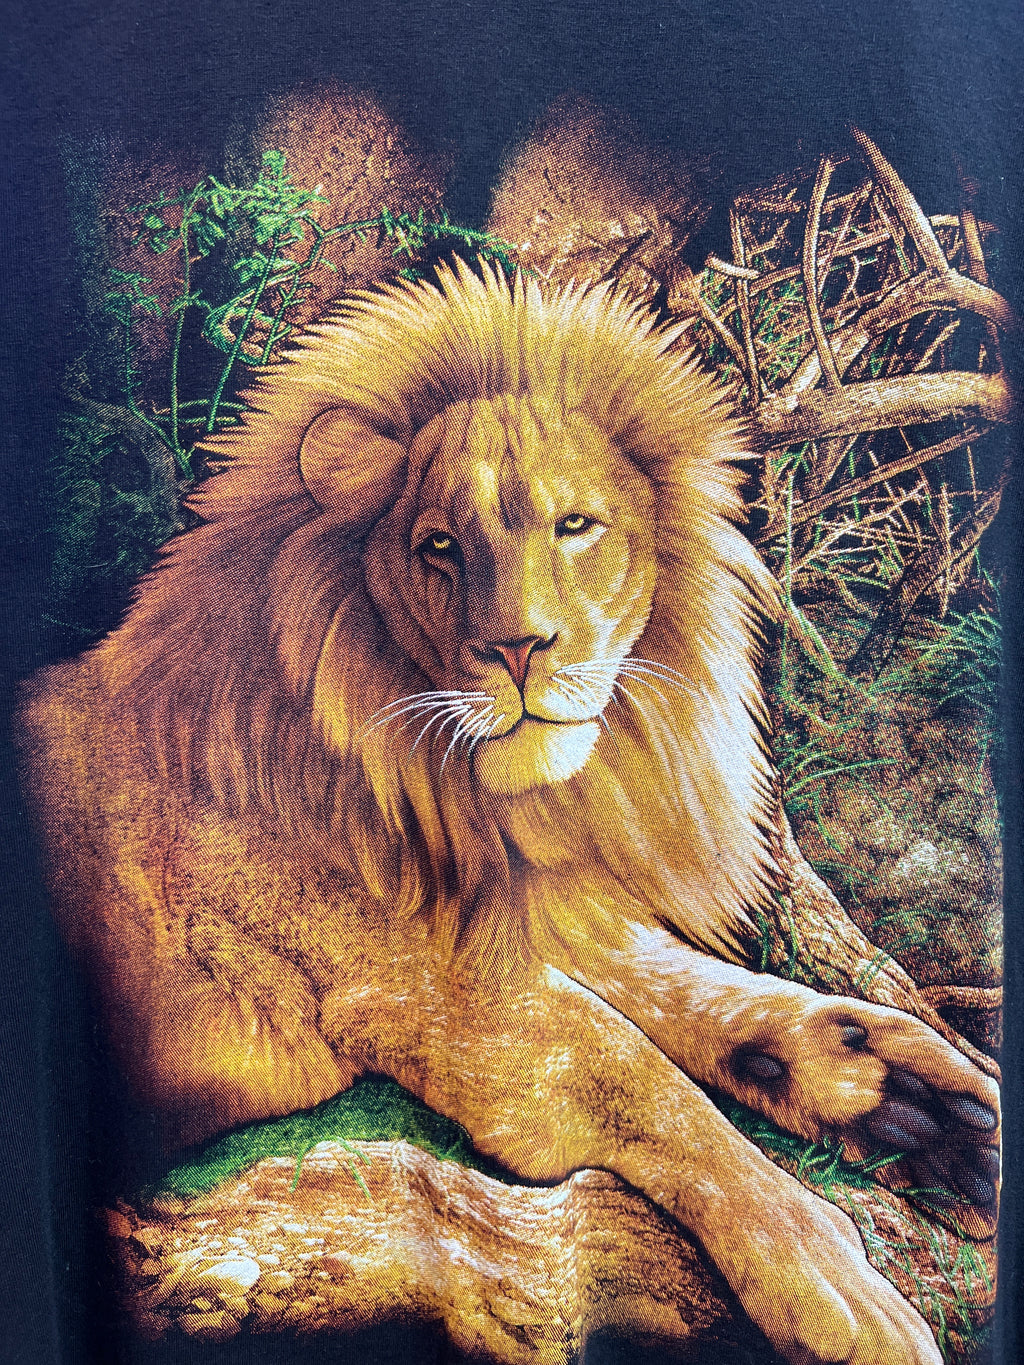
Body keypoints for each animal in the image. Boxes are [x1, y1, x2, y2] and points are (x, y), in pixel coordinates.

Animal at [19, 262, 1000, 1365]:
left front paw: (905, 1098)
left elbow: (692, 991)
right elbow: (640, 1076)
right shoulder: (416, 987)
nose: (519, 648)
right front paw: (835, 1282)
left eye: (574, 525)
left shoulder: (525, 910)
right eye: (438, 547)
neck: (463, 795)